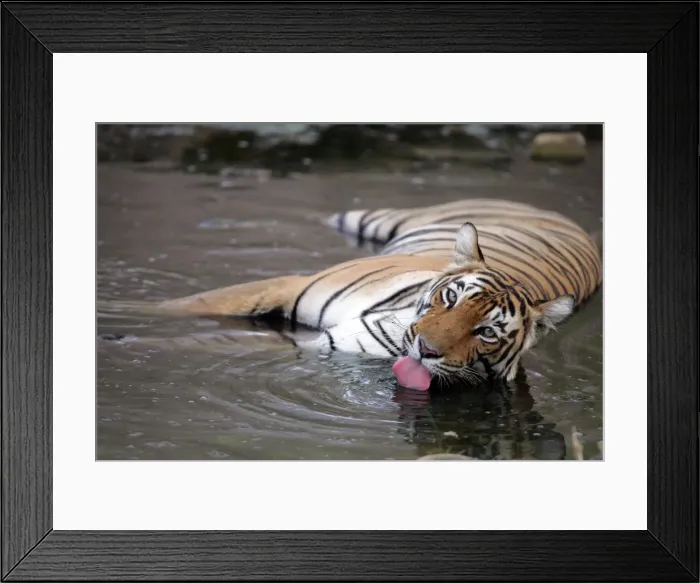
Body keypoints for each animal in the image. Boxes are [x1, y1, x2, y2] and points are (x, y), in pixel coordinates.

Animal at [152, 198, 602, 390]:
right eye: (451, 298)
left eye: (487, 333)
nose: (426, 349)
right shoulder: (288, 286)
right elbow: (175, 308)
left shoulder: (321, 344)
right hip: (378, 218)